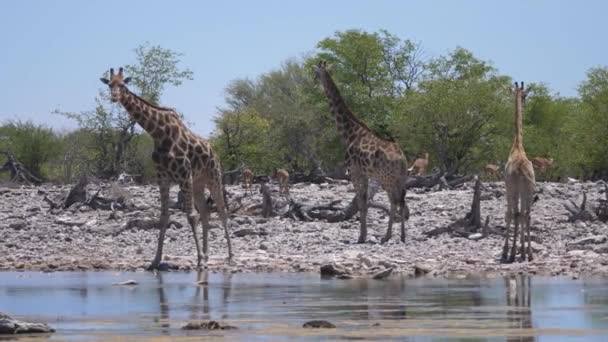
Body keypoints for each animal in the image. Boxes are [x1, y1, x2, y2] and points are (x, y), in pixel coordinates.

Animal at [100, 67, 233, 270]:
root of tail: (216, 153)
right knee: (206, 212)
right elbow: (164, 217)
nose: (114, 97)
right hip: (198, 183)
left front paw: (199, 259)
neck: (158, 134)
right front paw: (155, 260)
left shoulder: (184, 176)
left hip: (213, 177)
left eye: (122, 85)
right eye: (109, 84)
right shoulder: (162, 178)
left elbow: (191, 216)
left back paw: (229, 255)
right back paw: (207, 254)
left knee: (222, 211)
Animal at [314, 60, 408, 243]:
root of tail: (401, 159)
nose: (313, 81)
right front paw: (363, 235)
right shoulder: (364, 174)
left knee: (394, 201)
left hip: (385, 178)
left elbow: (361, 203)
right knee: (400, 200)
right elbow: (364, 203)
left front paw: (361, 236)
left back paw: (387, 236)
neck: (349, 133)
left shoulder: (354, 173)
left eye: (315, 72)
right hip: (400, 178)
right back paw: (401, 236)